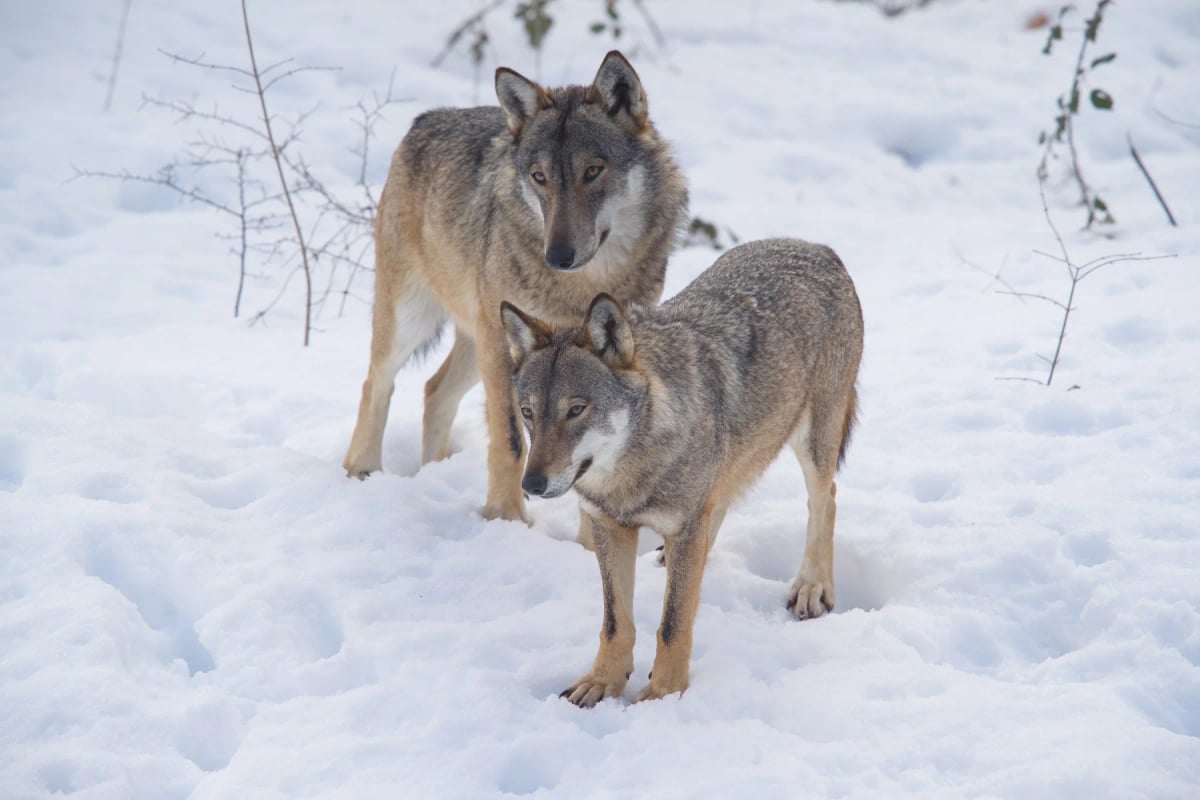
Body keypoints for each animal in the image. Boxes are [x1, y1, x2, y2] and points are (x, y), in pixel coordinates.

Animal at [342, 51, 688, 530]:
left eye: (593, 171)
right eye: (540, 177)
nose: (557, 254)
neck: (581, 286)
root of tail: (426, 118)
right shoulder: (504, 350)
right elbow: (510, 442)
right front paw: (505, 519)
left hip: (477, 343)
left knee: (433, 390)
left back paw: (435, 472)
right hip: (418, 323)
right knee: (376, 383)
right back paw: (362, 472)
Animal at [501, 238, 864, 705]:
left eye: (576, 409)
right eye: (528, 413)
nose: (531, 484)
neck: (631, 474)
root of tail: (817, 247)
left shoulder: (683, 523)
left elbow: (672, 626)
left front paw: (662, 696)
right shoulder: (609, 526)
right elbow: (616, 623)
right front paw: (602, 682)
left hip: (813, 443)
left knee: (825, 500)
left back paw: (813, 586)